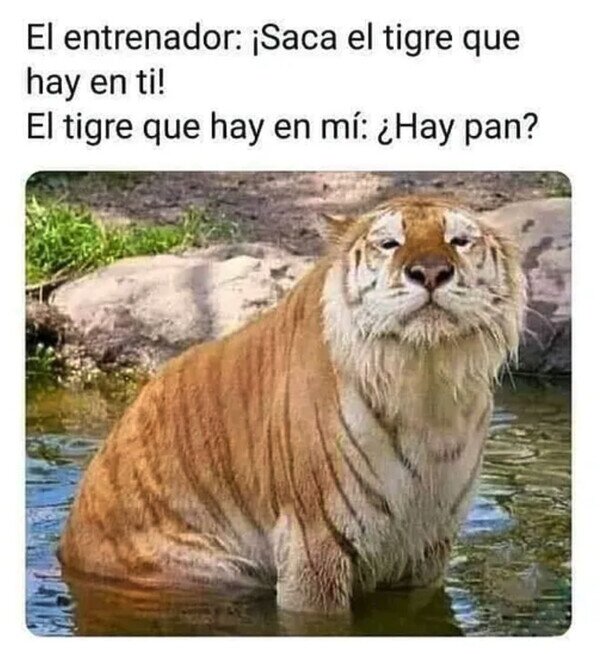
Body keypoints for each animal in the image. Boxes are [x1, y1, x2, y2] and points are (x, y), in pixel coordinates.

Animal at [58, 195, 526, 614]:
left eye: (459, 241)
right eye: (390, 243)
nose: (430, 272)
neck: (426, 383)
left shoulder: (428, 547)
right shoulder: (316, 539)